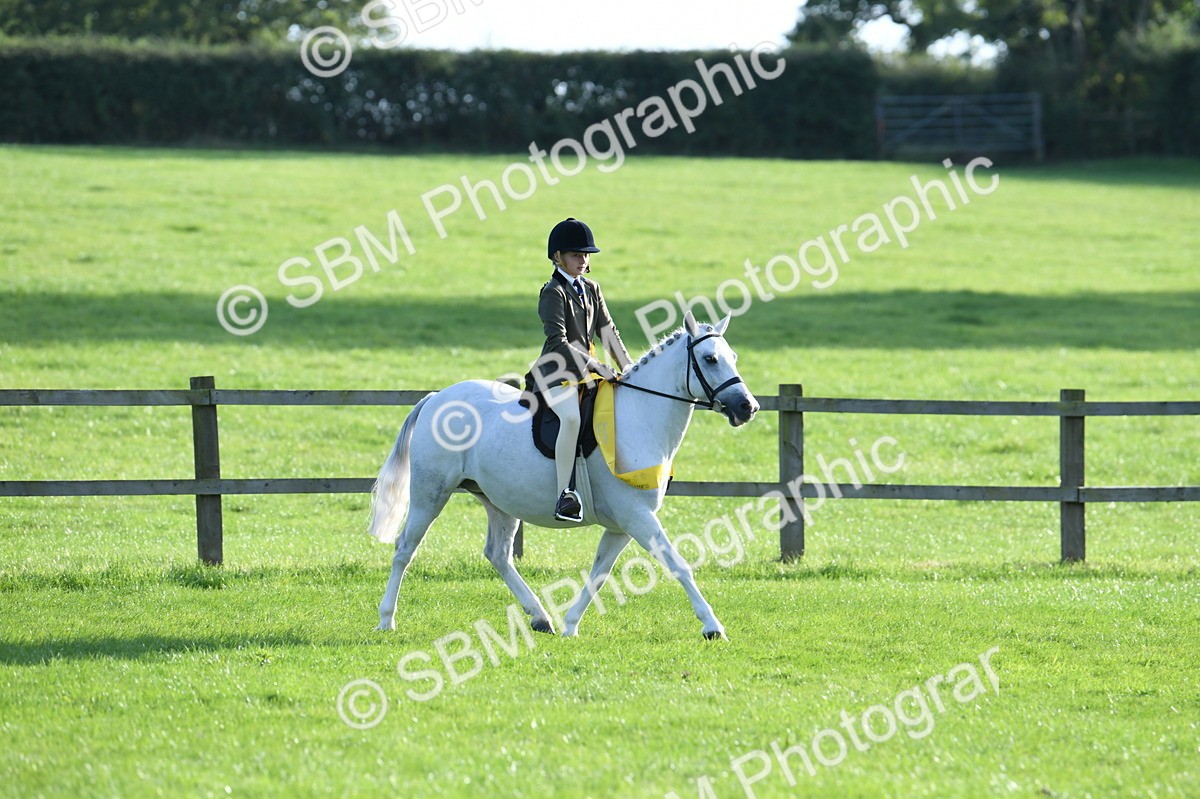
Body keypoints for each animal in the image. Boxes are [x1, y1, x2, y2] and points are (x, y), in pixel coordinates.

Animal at [366, 311, 760, 639]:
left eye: (733, 357)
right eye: (710, 359)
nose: (748, 407)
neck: (639, 417)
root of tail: (436, 398)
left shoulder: (622, 525)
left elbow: (599, 573)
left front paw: (571, 625)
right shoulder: (638, 517)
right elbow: (679, 565)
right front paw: (712, 626)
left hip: (498, 500)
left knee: (497, 554)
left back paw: (541, 617)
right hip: (430, 493)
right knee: (405, 549)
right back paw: (386, 619)